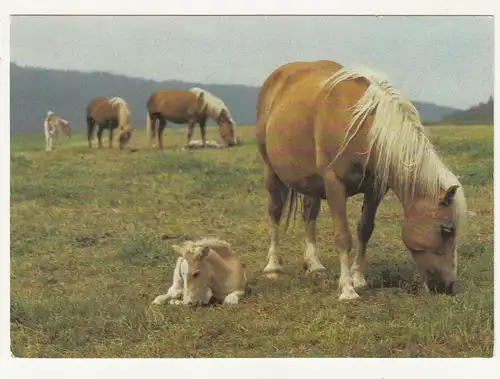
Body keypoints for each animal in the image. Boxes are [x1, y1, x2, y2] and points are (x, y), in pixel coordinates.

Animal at [256, 60, 466, 302]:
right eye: (447, 229)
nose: (447, 287)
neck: (363, 129)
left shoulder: (375, 189)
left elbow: (364, 230)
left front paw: (358, 279)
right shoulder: (335, 185)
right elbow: (343, 237)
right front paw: (347, 289)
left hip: (311, 183)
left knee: (309, 214)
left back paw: (314, 264)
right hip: (272, 173)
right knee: (275, 212)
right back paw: (273, 267)